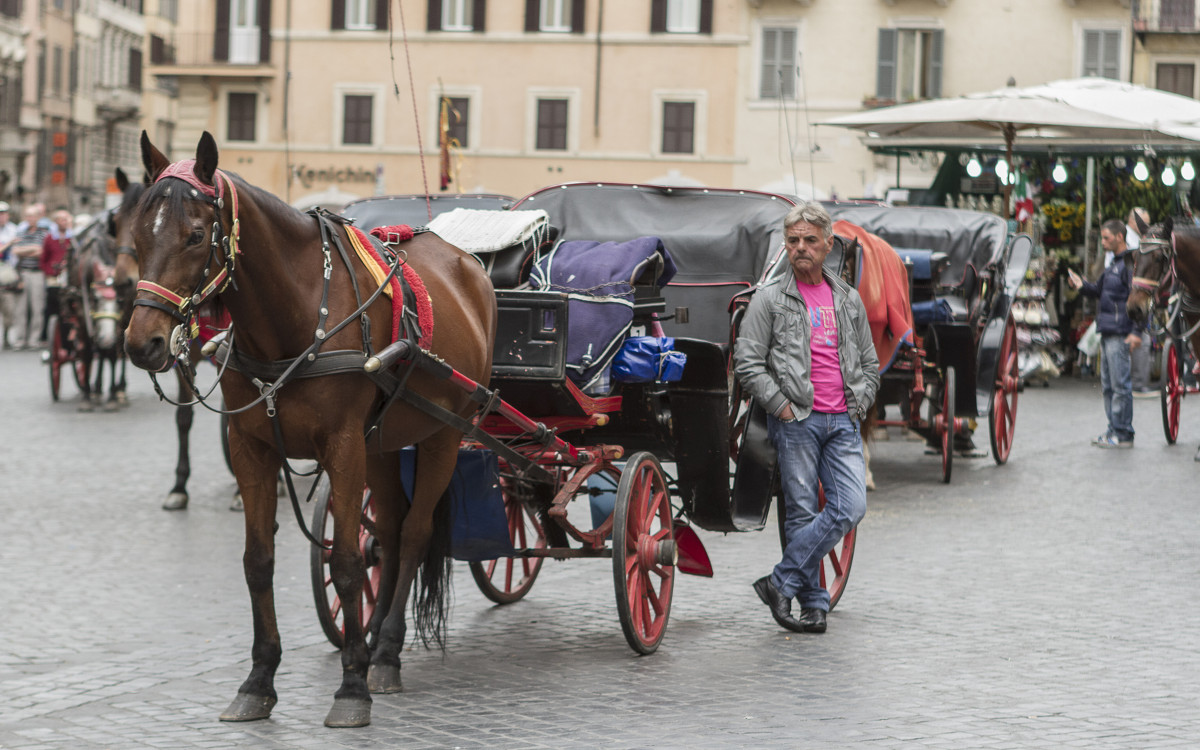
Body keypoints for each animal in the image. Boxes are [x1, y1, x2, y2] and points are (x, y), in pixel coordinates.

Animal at [123, 133, 496, 724]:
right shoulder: (252, 449)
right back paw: (373, 639)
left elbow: (344, 563)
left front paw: (352, 687)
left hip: (441, 435)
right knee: (390, 533)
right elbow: (259, 562)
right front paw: (259, 679)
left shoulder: (343, 448)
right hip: (383, 444)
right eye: (137, 233)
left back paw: (385, 654)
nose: (144, 343)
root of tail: (469, 265)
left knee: (413, 534)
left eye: (196, 235)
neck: (295, 319)